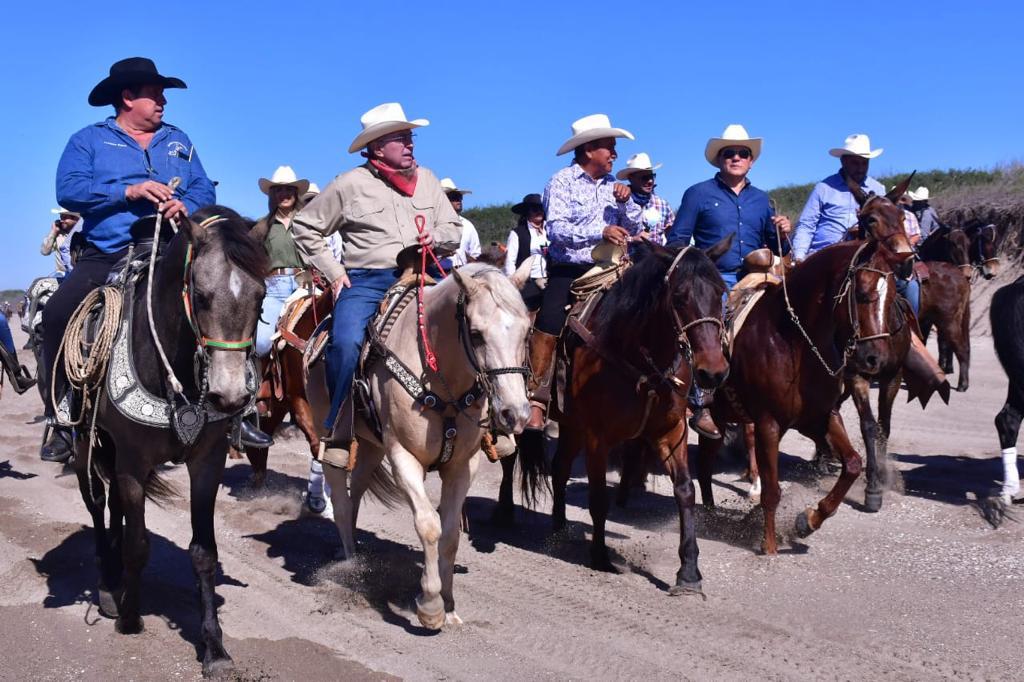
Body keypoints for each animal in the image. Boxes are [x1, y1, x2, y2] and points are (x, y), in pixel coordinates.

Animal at [69, 206, 268, 675]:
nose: (230, 396)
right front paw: (128, 617)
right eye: (201, 294)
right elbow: (139, 545)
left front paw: (214, 648)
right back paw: (109, 583)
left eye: (262, 298)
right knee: (98, 505)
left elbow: (203, 552)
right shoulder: (132, 461)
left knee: (116, 509)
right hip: (88, 445)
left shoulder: (207, 461)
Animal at [315, 261, 532, 626]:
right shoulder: (403, 457)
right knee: (342, 501)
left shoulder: (463, 465)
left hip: (371, 447)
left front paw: (449, 604)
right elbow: (429, 525)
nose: (515, 413)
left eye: (527, 332)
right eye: (476, 333)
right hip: (329, 435)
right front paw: (430, 605)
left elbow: (451, 535)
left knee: (355, 492)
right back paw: (350, 564)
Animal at [520, 238, 737, 593]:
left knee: (560, 467)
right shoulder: (598, 438)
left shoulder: (671, 431)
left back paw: (559, 526)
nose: (714, 372)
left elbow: (685, 490)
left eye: (720, 292)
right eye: (679, 296)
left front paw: (689, 572)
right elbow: (597, 497)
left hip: (571, 426)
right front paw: (600, 557)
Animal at [700, 238, 909, 552]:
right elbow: (772, 491)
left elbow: (852, 464)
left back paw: (711, 515)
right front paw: (769, 546)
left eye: (894, 295)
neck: (792, 341)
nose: (876, 359)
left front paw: (808, 520)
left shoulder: (820, 417)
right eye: (862, 294)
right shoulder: (768, 423)